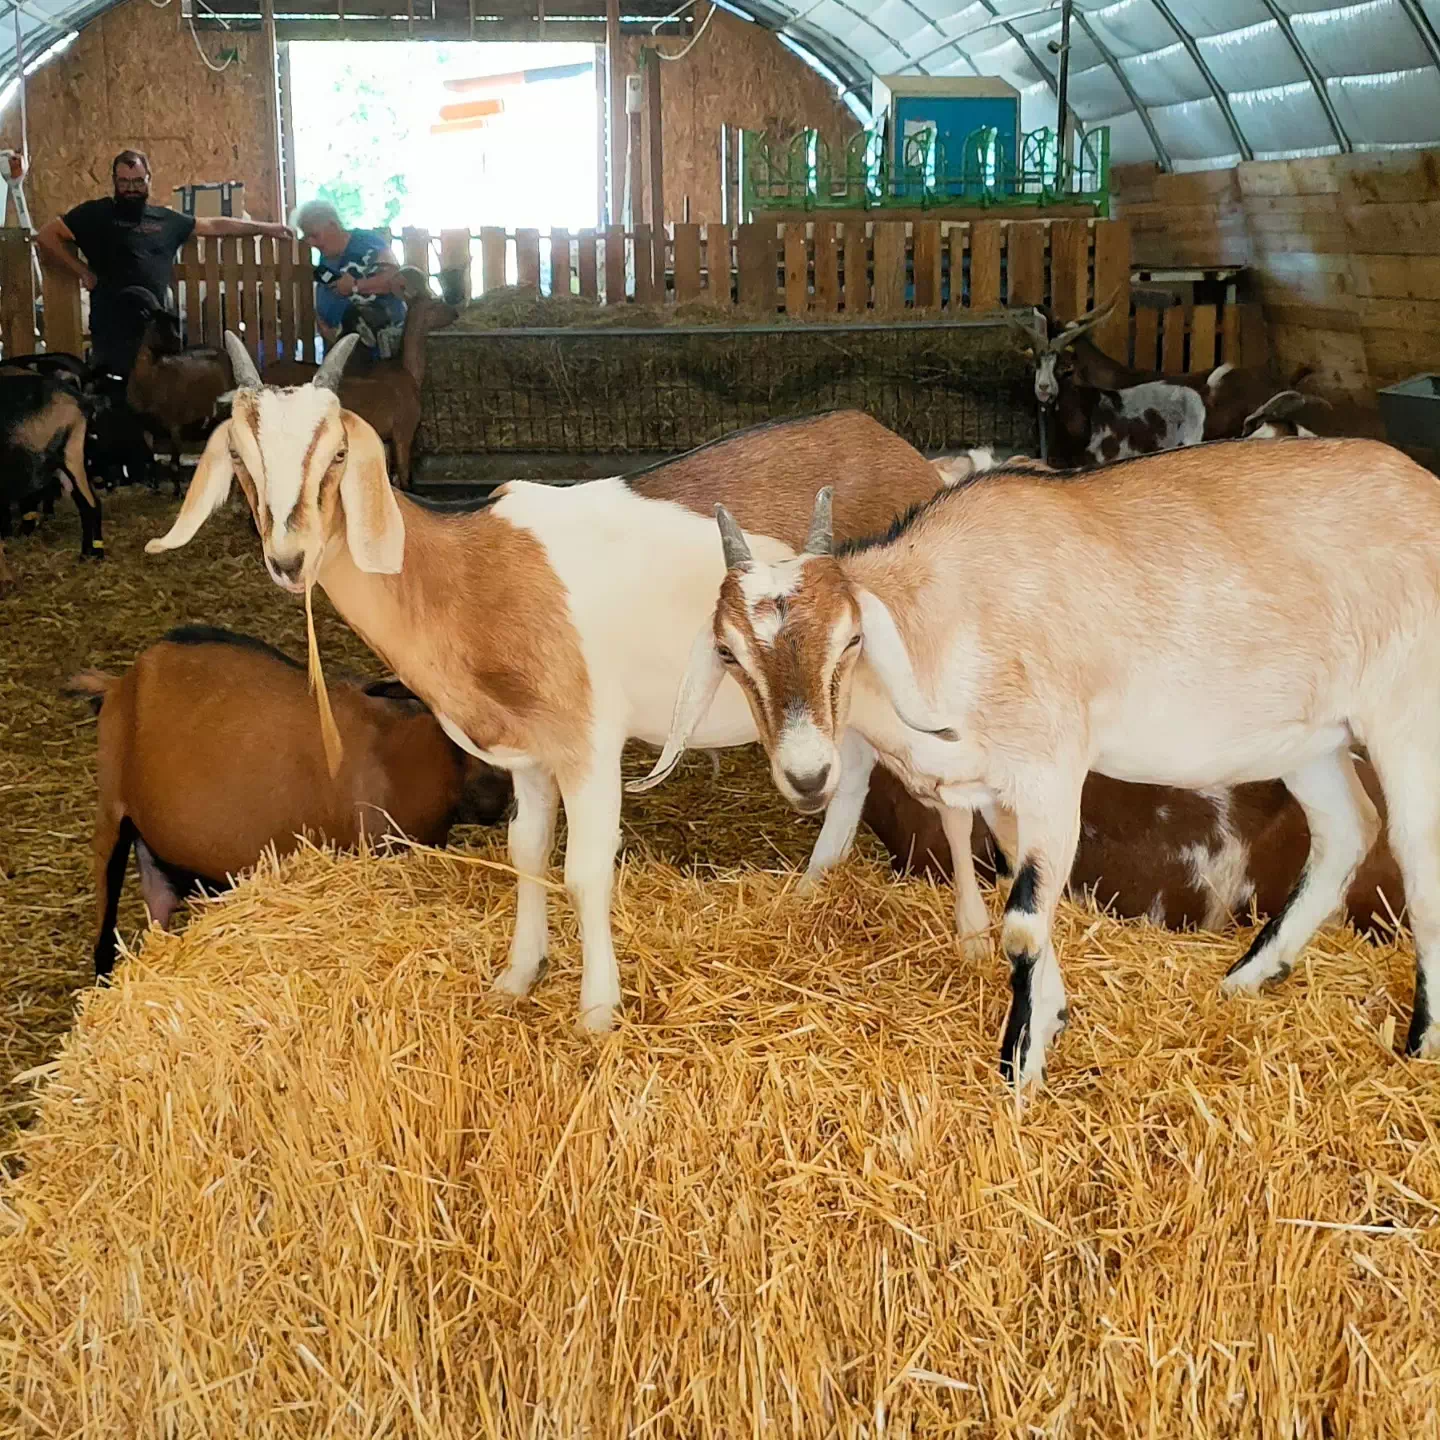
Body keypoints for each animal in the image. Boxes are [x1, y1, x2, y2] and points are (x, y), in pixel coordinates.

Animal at [0, 370, 101, 585]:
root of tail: (80, 401)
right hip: (67, 463)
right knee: (88, 504)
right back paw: (88, 554)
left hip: (70, 456)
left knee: (90, 504)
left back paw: (95, 554)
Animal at [124, 287, 233, 496]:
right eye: (155, 321)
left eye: (173, 321)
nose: (178, 341)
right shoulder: (146, 428)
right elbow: (150, 461)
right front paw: (155, 488)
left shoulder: (174, 426)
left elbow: (174, 463)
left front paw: (178, 492)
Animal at [145, 337, 994, 1030]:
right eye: (243, 465)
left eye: (333, 461)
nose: (288, 559)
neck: (463, 575)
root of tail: (923, 463)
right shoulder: (526, 749)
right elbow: (526, 850)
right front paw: (517, 977)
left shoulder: (589, 739)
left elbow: (585, 870)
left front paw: (597, 1010)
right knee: (853, 768)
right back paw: (813, 889)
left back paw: (973, 935)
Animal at [652, 438, 1440, 1090]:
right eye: (729, 652)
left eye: (850, 640)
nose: (809, 775)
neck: (949, 613)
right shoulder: (1002, 791)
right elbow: (1024, 890)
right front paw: (1054, 1017)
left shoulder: (1054, 766)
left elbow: (1024, 923)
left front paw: (1020, 1068)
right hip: (1309, 737)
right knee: (1346, 830)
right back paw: (1247, 978)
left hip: (1405, 712)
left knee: (1417, 853)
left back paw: (1420, 1046)